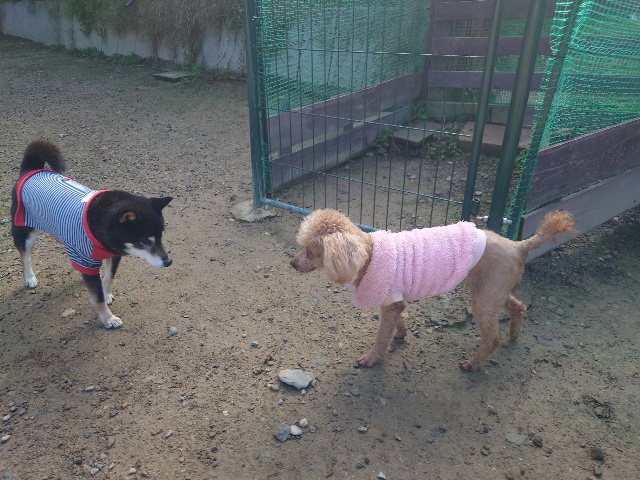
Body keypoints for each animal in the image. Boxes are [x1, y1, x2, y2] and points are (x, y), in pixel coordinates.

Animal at [11, 140, 173, 329]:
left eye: (161, 237)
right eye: (145, 240)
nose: (168, 262)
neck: (101, 223)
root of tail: (31, 170)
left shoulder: (113, 255)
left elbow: (108, 278)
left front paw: (106, 293)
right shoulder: (87, 260)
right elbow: (98, 297)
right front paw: (108, 318)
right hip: (25, 231)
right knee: (24, 256)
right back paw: (29, 277)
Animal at [291, 208, 576, 371]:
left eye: (311, 251)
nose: (292, 263)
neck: (368, 256)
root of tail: (519, 246)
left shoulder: (391, 301)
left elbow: (381, 337)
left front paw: (371, 359)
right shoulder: (393, 301)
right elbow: (399, 319)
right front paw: (401, 333)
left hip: (485, 297)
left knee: (492, 338)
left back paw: (473, 364)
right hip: (491, 290)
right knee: (519, 306)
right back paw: (514, 334)